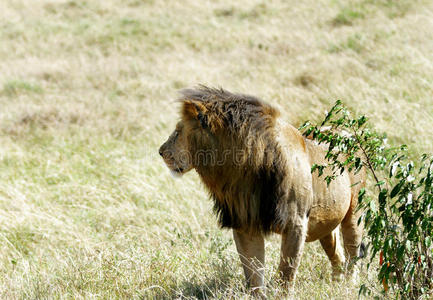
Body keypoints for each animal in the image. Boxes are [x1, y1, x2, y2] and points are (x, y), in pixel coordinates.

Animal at [157, 86, 362, 296]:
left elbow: (286, 273)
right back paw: (337, 285)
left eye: (178, 131)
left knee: (353, 253)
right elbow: (253, 271)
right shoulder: (245, 223)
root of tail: (344, 132)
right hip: (327, 222)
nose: (160, 152)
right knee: (337, 256)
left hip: (354, 213)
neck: (242, 168)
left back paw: (350, 286)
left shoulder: (295, 223)